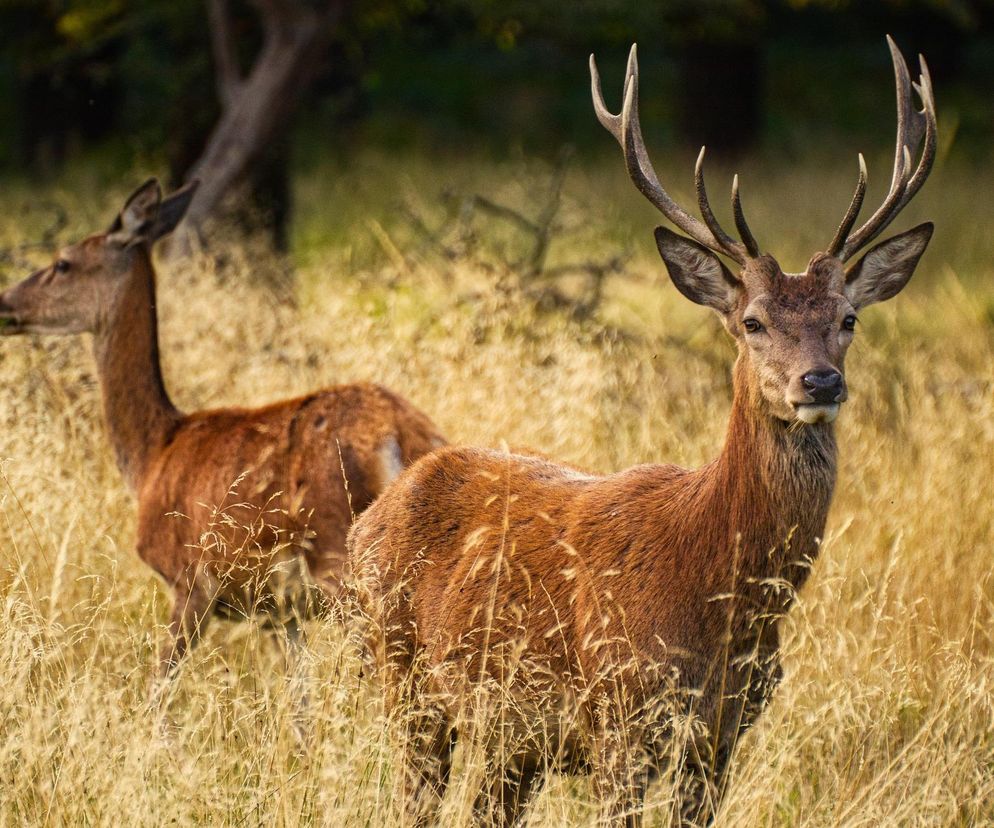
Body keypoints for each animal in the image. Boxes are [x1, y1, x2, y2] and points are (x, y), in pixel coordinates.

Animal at [0, 180, 442, 680]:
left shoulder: (189, 580)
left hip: (340, 554)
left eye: (63, 262)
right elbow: (299, 696)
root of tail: (400, 435)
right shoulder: (280, 612)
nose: (4, 303)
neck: (153, 453)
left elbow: (160, 687)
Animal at [344, 35, 932, 824]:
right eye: (752, 322)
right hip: (404, 678)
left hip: (508, 739)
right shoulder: (618, 716)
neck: (721, 600)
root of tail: (371, 517)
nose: (820, 383)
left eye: (848, 319)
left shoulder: (721, 736)